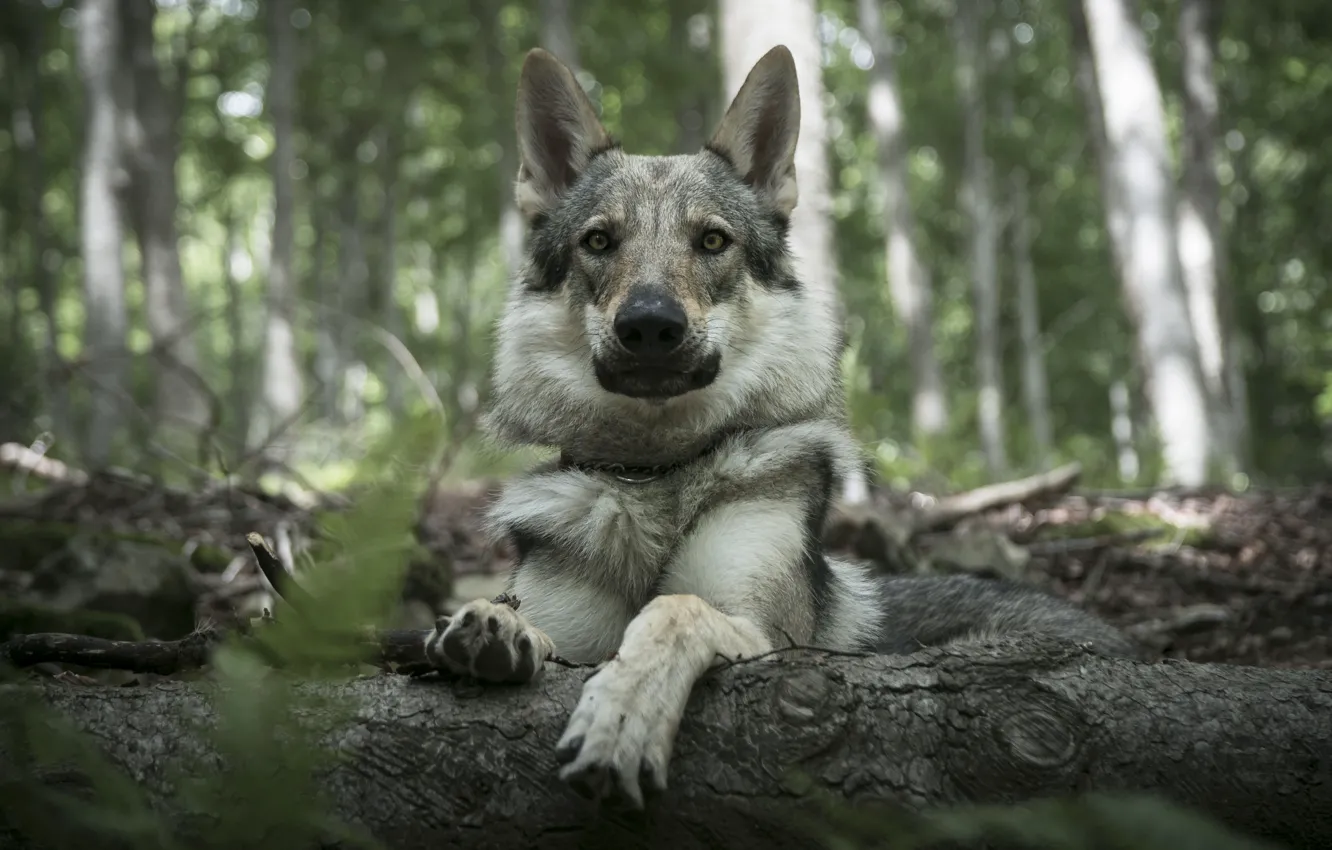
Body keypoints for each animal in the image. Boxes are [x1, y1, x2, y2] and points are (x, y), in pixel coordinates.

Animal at [423, 43, 1138, 809]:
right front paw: (493, 625)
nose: (649, 325)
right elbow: (535, 623)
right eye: (599, 241)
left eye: (712, 241)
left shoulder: (762, 632)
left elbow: (672, 611)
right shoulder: (569, 620)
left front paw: (622, 719)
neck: (656, 473)